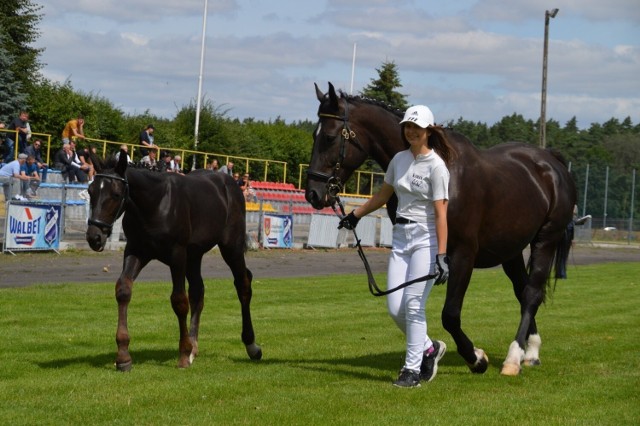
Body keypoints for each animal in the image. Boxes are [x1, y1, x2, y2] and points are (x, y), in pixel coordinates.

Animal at [86, 152, 262, 370]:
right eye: (90, 191)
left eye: (116, 194)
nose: (94, 237)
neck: (155, 203)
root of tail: (230, 183)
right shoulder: (136, 250)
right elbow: (123, 290)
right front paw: (123, 356)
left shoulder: (177, 254)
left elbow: (179, 300)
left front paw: (183, 354)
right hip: (194, 255)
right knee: (198, 291)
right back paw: (194, 346)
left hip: (231, 247)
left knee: (243, 284)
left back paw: (251, 345)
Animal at [308, 83, 576, 376]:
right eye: (314, 134)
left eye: (330, 137)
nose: (313, 193)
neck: (446, 171)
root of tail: (551, 162)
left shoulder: (461, 255)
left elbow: (450, 314)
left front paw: (476, 358)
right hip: (511, 250)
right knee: (522, 289)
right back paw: (531, 350)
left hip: (545, 240)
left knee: (531, 293)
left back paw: (514, 357)